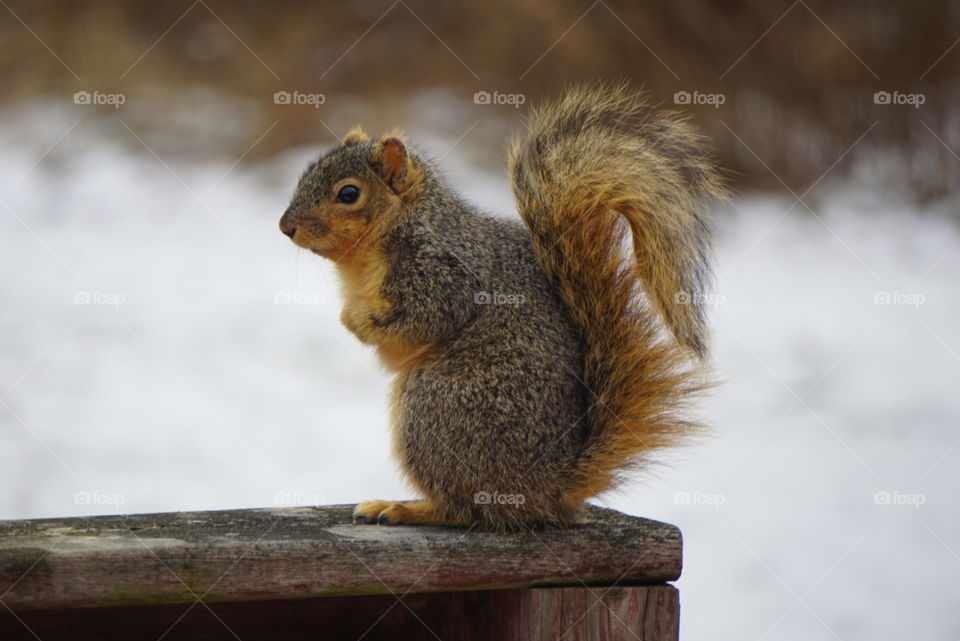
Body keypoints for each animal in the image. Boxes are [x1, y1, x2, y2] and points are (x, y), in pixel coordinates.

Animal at [279, 83, 725, 531]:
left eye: (349, 194)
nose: (286, 227)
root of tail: (549, 487)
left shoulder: (443, 273)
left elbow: (422, 320)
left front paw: (357, 320)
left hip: (437, 406)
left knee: (467, 508)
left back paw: (406, 508)